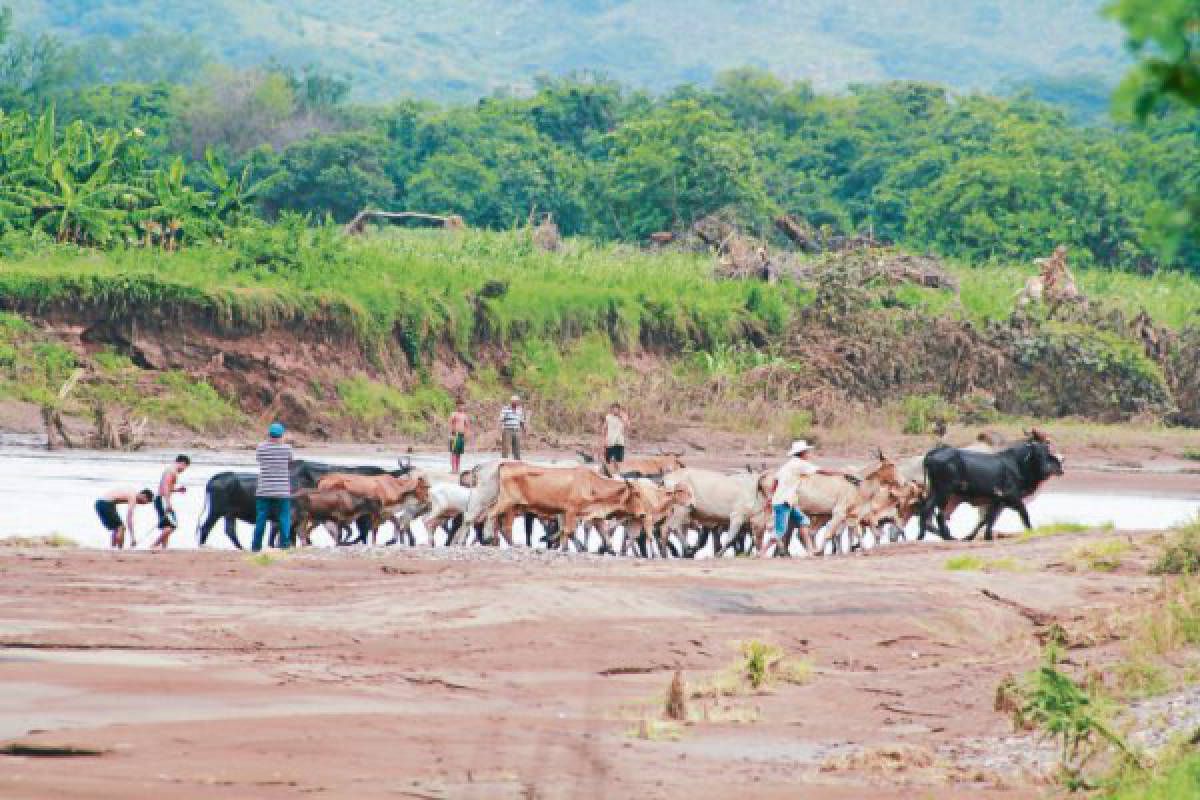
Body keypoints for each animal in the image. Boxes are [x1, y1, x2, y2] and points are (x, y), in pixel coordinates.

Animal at [916, 438, 1060, 544]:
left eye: (1046, 454)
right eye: (1036, 455)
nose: (1046, 470)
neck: (1016, 464)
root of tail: (933, 452)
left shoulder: (997, 500)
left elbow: (987, 519)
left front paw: (983, 537)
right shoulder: (1012, 496)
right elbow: (1024, 514)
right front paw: (1032, 532)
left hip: (936, 491)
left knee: (926, 511)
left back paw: (921, 536)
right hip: (944, 491)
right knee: (939, 515)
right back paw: (947, 537)